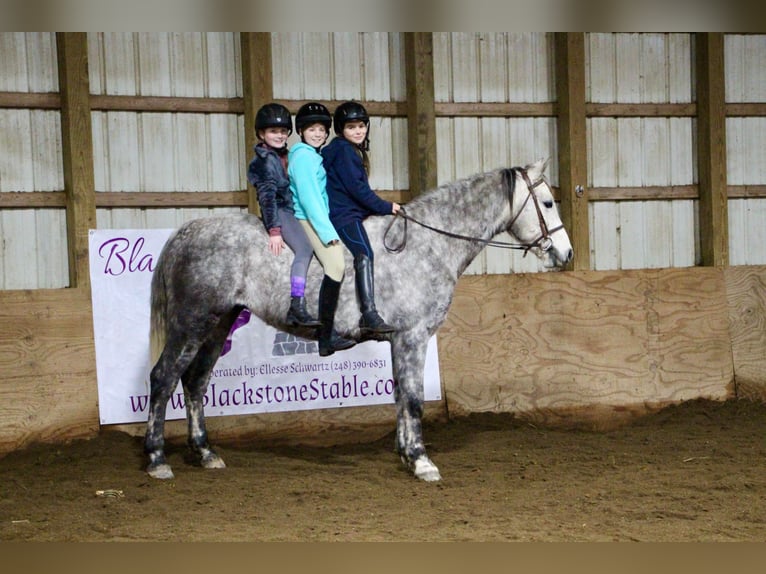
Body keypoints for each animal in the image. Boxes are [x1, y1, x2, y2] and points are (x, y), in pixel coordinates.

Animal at [146, 160, 576, 484]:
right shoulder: (413, 337)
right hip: (192, 323)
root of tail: (186, 232)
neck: (427, 245)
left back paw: (206, 453)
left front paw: (405, 454)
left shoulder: (401, 340)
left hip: (218, 324)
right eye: (548, 202)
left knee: (195, 382)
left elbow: (401, 396)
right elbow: (414, 399)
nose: (567, 253)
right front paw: (422, 461)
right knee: (164, 378)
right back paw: (156, 460)